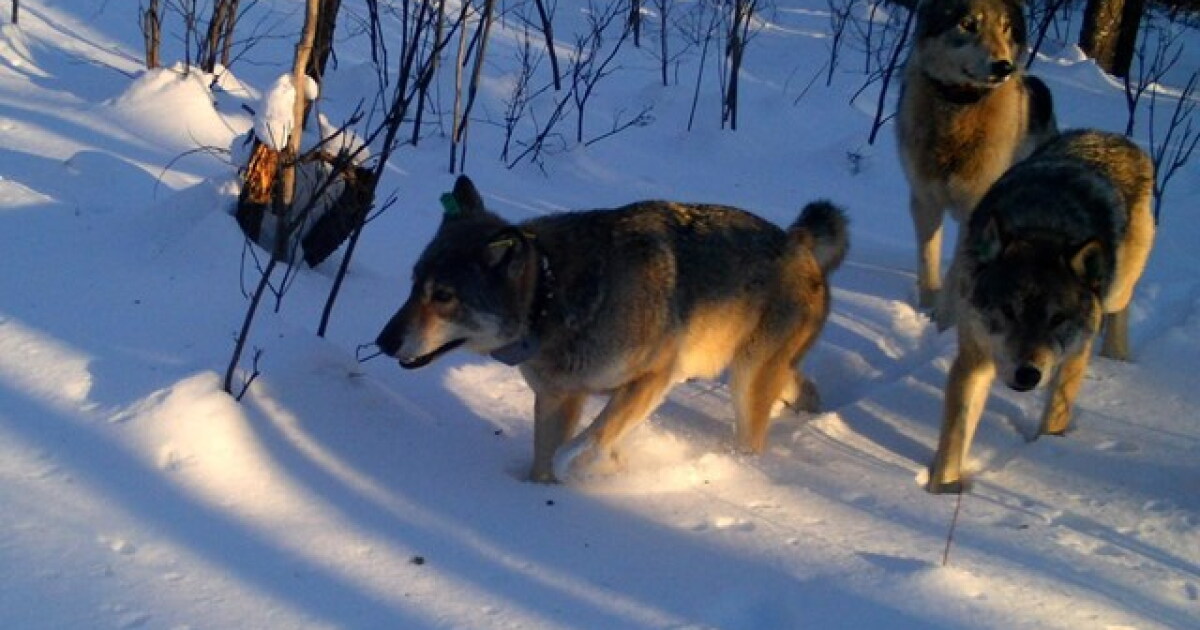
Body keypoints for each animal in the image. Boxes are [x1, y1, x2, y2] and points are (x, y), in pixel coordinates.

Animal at [376, 176, 849, 482]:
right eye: (414, 283)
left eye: (443, 296)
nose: (382, 342)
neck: (551, 297)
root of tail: (798, 241)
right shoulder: (557, 398)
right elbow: (544, 461)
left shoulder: (653, 378)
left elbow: (580, 445)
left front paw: (600, 468)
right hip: (753, 371)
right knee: (798, 384)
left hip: (746, 378)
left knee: (755, 435)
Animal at [896, 0, 1058, 328]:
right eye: (968, 24)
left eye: (1006, 28)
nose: (1004, 67)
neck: (957, 110)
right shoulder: (924, 201)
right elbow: (928, 262)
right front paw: (926, 311)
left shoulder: (975, 210)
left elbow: (955, 274)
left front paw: (943, 323)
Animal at [927, 130, 1155, 493]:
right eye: (1008, 311)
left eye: (1057, 319)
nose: (1028, 375)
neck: (1043, 227)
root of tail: (1110, 135)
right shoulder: (974, 358)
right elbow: (955, 435)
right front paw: (943, 491)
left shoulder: (1074, 354)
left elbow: (1054, 417)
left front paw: (1044, 449)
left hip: (1117, 290)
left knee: (1121, 303)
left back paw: (1117, 353)